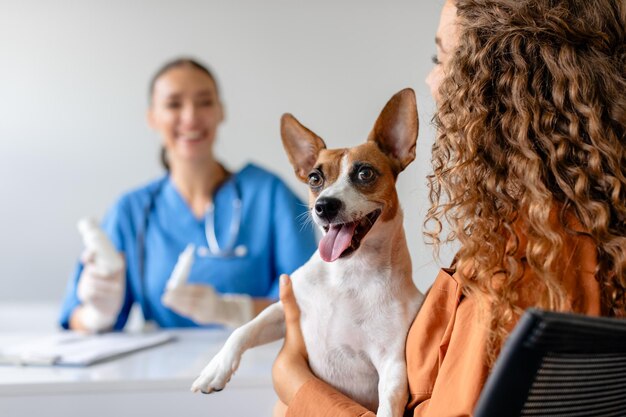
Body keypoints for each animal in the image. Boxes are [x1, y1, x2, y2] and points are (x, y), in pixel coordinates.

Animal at [190, 88, 424, 416]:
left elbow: (389, 405)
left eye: (365, 173)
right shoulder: (282, 311)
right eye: (315, 178)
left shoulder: (392, 364)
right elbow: (244, 329)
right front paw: (215, 370)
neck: (347, 276)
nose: (324, 205)